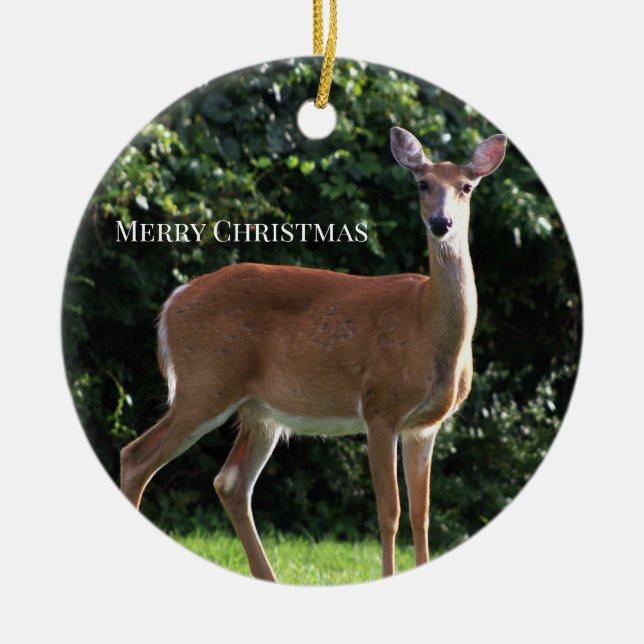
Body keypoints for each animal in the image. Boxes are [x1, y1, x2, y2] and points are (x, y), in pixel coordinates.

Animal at [120, 127, 507, 582]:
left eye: (466, 187)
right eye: (422, 184)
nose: (441, 223)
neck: (426, 324)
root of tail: (173, 301)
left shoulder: (425, 426)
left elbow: (421, 514)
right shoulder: (379, 408)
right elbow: (389, 512)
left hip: (259, 412)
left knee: (230, 482)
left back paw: (268, 577)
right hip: (205, 385)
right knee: (136, 457)